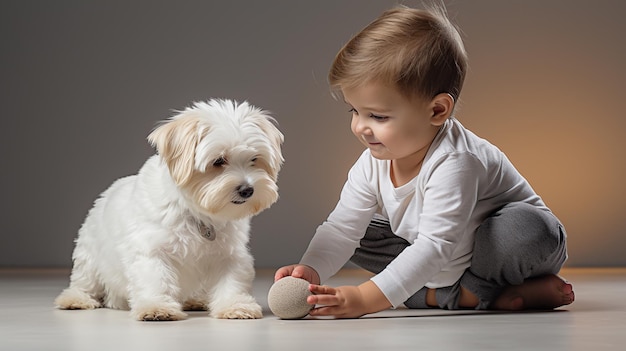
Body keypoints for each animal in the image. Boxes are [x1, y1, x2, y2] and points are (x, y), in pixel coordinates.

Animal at [53, 99, 282, 322]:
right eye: (218, 161)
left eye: (254, 159)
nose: (247, 190)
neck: (197, 212)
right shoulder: (152, 250)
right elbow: (156, 279)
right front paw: (156, 307)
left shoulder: (230, 254)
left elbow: (232, 280)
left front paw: (235, 305)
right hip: (89, 256)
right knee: (85, 281)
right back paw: (76, 299)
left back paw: (195, 300)